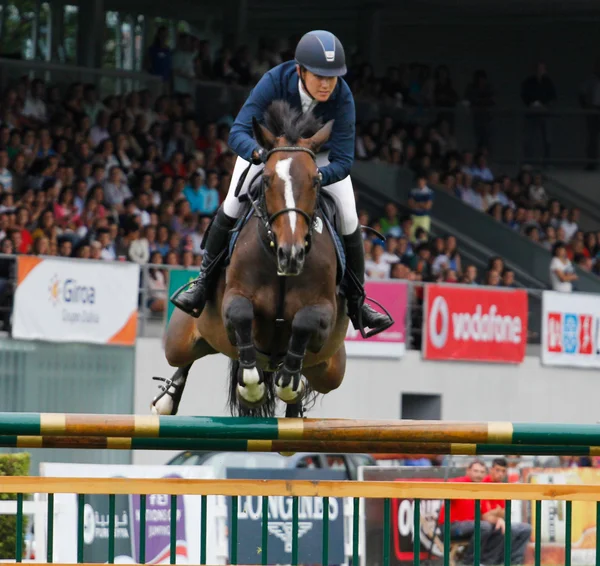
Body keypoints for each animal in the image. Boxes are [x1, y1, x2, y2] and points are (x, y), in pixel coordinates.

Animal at [152, 101, 350, 422]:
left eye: (316, 181)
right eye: (267, 180)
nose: (291, 255)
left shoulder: (325, 314)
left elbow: (305, 323)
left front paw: (288, 382)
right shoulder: (233, 300)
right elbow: (241, 313)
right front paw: (252, 386)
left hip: (332, 369)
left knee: (311, 377)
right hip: (181, 340)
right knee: (184, 357)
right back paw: (167, 399)